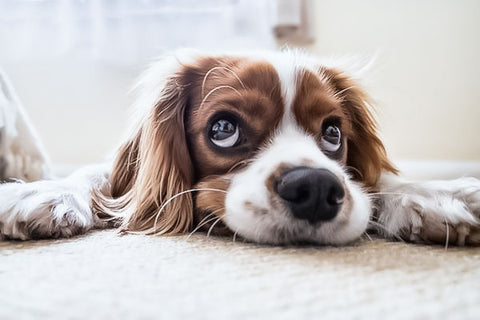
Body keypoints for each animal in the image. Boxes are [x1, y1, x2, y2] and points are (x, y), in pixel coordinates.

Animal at [0, 50, 480, 245]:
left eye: (333, 133)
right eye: (224, 129)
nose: (316, 188)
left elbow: (379, 181)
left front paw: (434, 195)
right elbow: (97, 177)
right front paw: (42, 192)